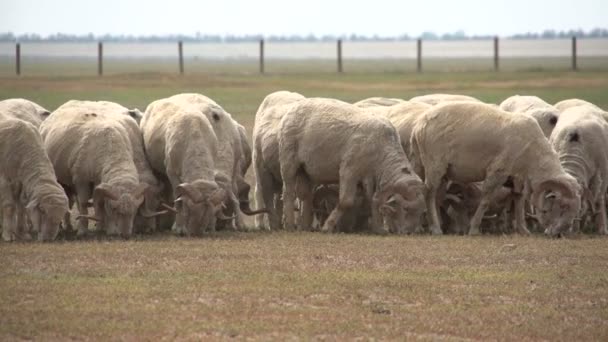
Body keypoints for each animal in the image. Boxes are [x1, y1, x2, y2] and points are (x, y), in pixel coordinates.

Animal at [141, 97, 230, 235]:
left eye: (211, 212)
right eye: (188, 207)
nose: (196, 233)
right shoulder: (172, 172)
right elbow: (178, 200)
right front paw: (178, 227)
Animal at [278, 97, 426, 234]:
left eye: (420, 212)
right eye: (406, 208)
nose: (409, 233)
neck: (382, 152)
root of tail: (295, 107)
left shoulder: (370, 178)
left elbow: (374, 201)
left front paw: (378, 229)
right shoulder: (349, 171)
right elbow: (346, 201)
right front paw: (327, 226)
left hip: (306, 171)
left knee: (306, 195)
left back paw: (304, 226)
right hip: (289, 161)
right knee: (288, 192)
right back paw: (289, 225)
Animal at [548, 106, 608, 235]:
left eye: (573, 208)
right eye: (554, 207)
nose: (558, 233)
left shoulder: (601, 176)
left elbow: (597, 202)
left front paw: (601, 229)